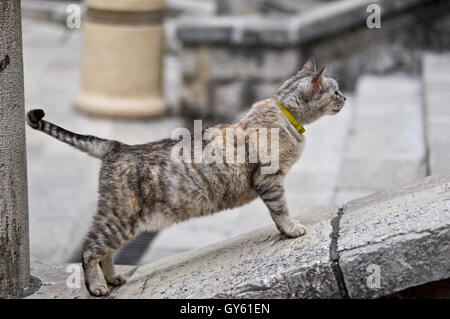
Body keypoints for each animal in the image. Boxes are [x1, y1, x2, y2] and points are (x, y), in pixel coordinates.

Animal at [26, 58, 346, 298]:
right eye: (335, 91)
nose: (345, 98)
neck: (285, 114)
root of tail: (116, 146)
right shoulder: (270, 180)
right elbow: (281, 211)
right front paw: (291, 230)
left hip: (120, 221)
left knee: (106, 251)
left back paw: (114, 278)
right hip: (120, 219)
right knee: (90, 249)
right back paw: (97, 286)